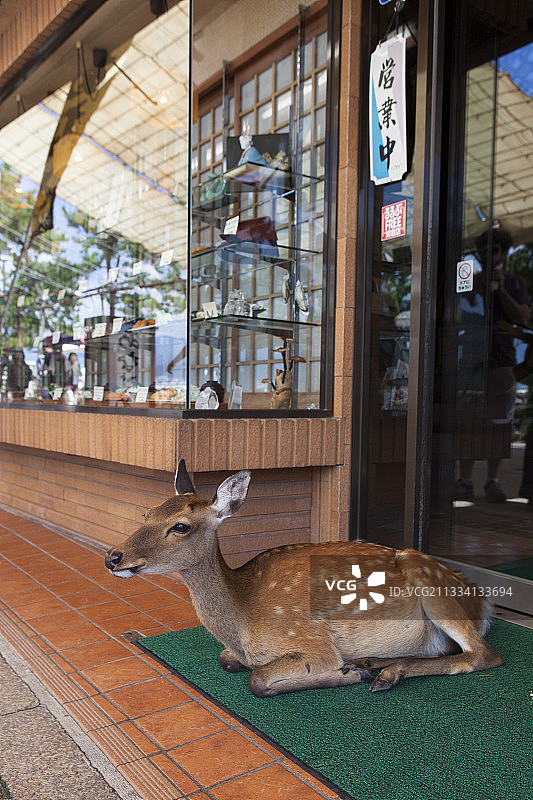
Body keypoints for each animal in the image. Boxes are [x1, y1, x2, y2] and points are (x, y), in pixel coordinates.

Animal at [104, 461, 503, 696]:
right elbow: (227, 660)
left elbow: (258, 680)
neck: (244, 622)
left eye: (181, 526)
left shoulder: (311, 641)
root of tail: (482, 600)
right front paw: (355, 670)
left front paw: (346, 674)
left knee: (483, 655)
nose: (113, 557)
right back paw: (373, 664)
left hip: (432, 585)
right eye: (147, 512)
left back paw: (381, 673)